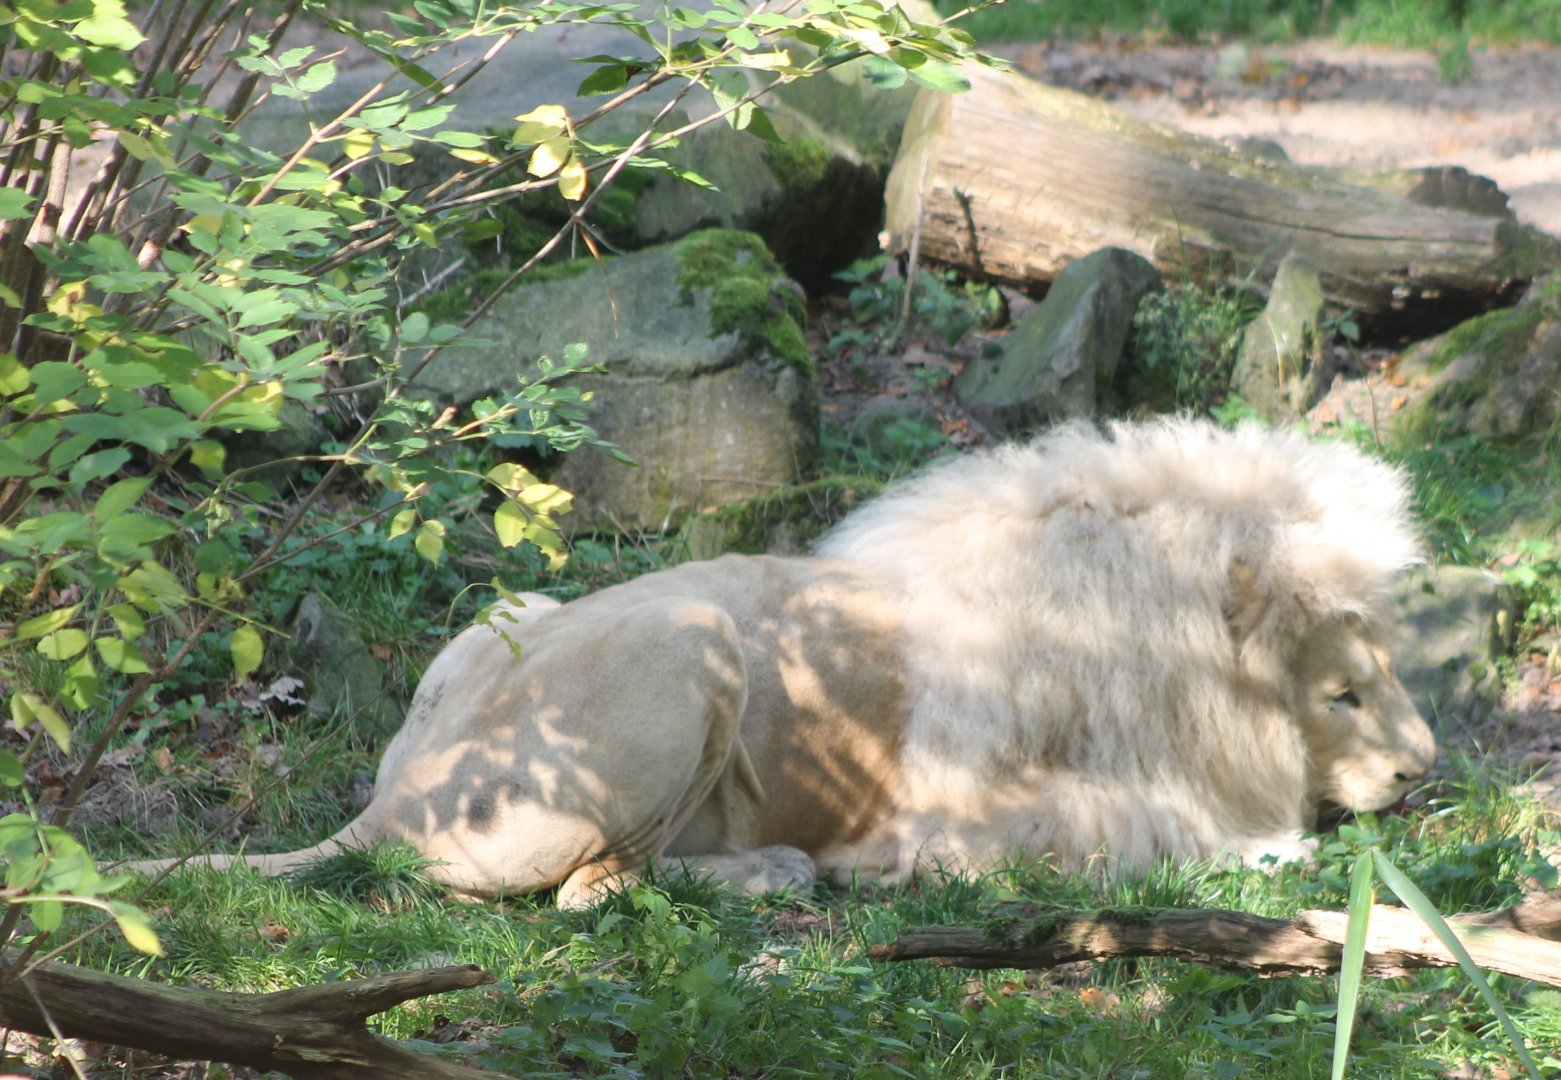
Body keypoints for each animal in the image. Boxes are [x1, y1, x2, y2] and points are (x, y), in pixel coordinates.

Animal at [132, 419, 1438, 906]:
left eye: (1387, 675)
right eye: (1342, 692)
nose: (1423, 771)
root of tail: (389, 802)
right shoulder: (995, 816)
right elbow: (1172, 834)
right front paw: (1271, 843)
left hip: (510, 606)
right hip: (688, 640)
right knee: (589, 886)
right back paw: (782, 871)